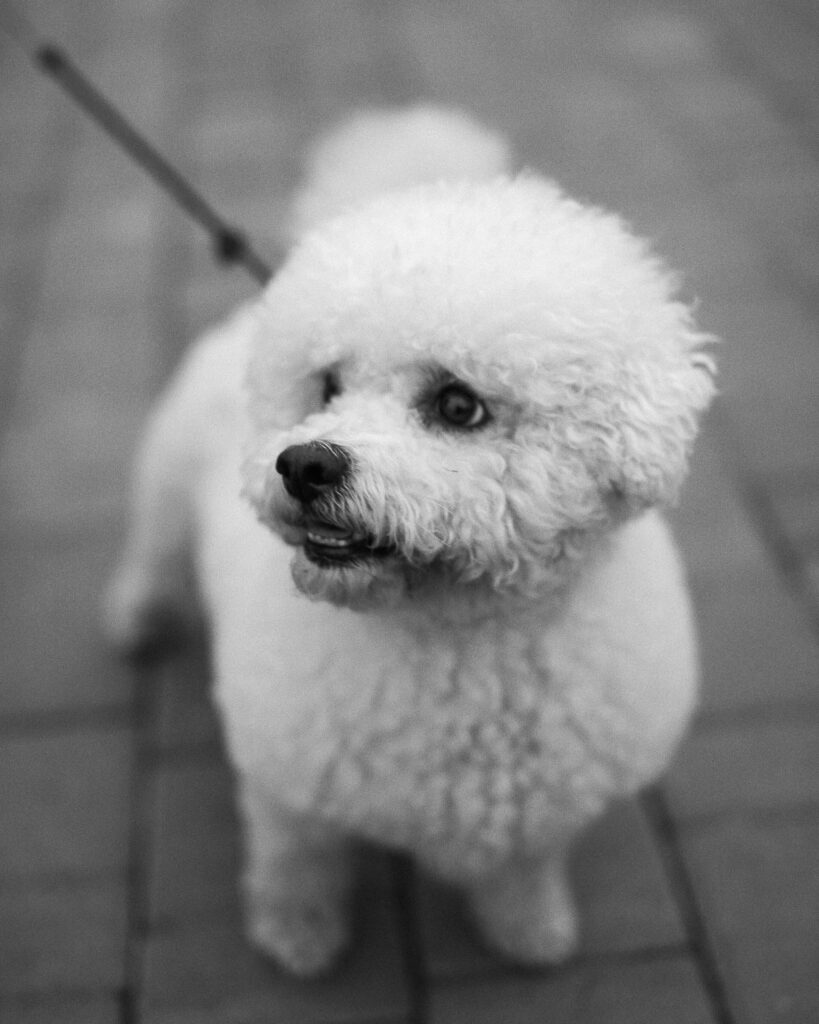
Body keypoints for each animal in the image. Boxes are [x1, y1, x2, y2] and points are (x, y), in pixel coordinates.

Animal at [105, 105, 712, 974]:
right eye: (327, 386)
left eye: (458, 405)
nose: (304, 462)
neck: (455, 644)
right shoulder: (288, 783)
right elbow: (296, 862)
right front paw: (298, 935)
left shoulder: (540, 810)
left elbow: (522, 873)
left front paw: (528, 931)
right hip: (163, 477)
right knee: (152, 551)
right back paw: (136, 618)